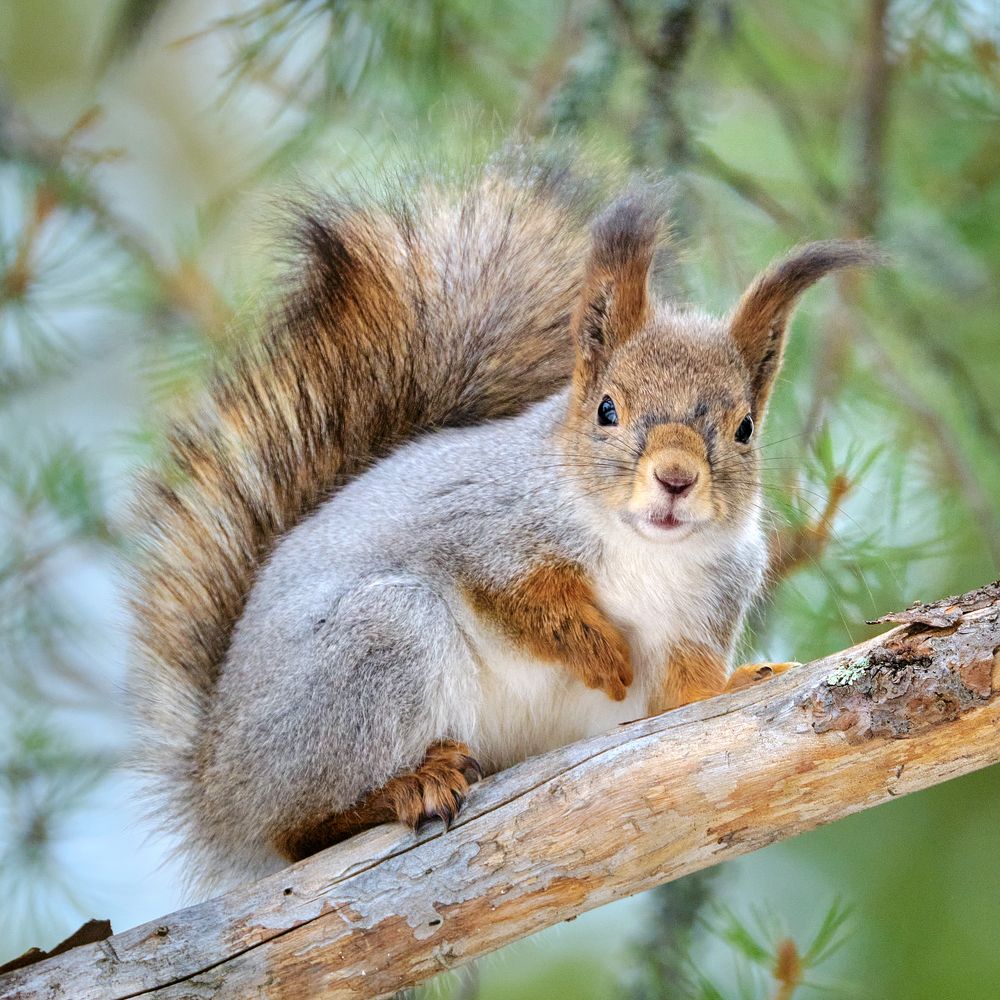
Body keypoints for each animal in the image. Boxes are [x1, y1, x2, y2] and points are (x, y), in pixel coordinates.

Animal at [128, 151, 879, 889]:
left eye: (746, 428)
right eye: (607, 409)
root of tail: (217, 792)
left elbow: (682, 701)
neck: (645, 549)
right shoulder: (480, 528)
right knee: (299, 831)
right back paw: (406, 787)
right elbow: (517, 602)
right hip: (376, 648)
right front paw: (601, 652)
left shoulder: (705, 610)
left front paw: (748, 680)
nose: (675, 479)